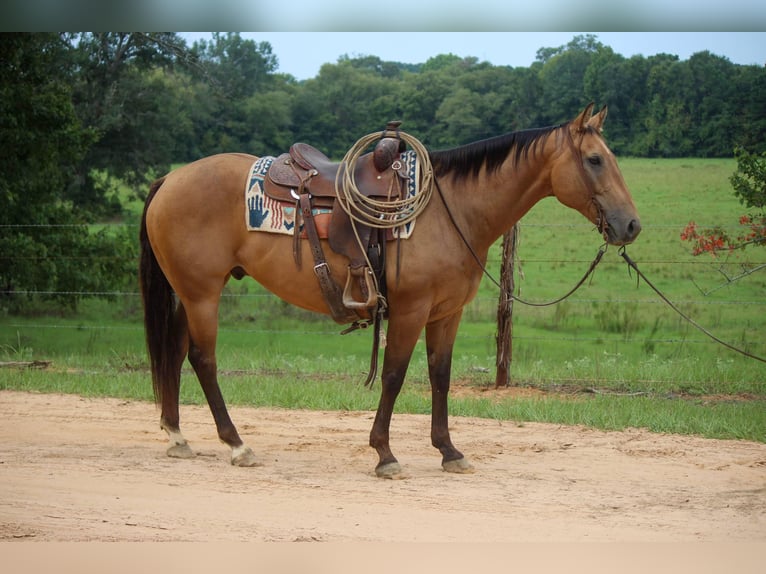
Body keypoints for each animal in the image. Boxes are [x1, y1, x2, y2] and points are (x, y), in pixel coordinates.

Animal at [140, 104, 640, 482]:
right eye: (595, 160)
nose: (631, 225)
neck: (452, 211)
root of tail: (170, 179)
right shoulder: (410, 311)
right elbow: (395, 376)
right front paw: (384, 454)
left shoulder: (446, 314)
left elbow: (440, 376)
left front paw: (449, 451)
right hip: (203, 294)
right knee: (203, 359)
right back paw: (237, 444)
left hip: (189, 293)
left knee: (176, 350)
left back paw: (177, 437)